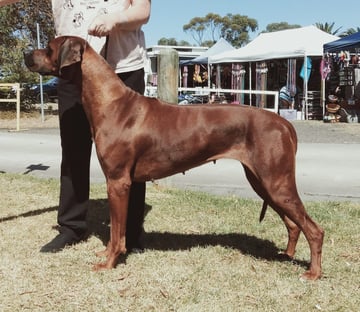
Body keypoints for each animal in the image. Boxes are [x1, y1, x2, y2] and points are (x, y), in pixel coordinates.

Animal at [23, 36, 324, 280]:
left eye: (48, 47)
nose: (26, 53)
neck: (110, 101)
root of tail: (283, 123)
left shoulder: (118, 182)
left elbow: (117, 232)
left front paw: (109, 263)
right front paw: (106, 255)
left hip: (276, 182)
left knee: (314, 229)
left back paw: (313, 272)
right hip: (264, 182)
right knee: (293, 224)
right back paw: (286, 255)